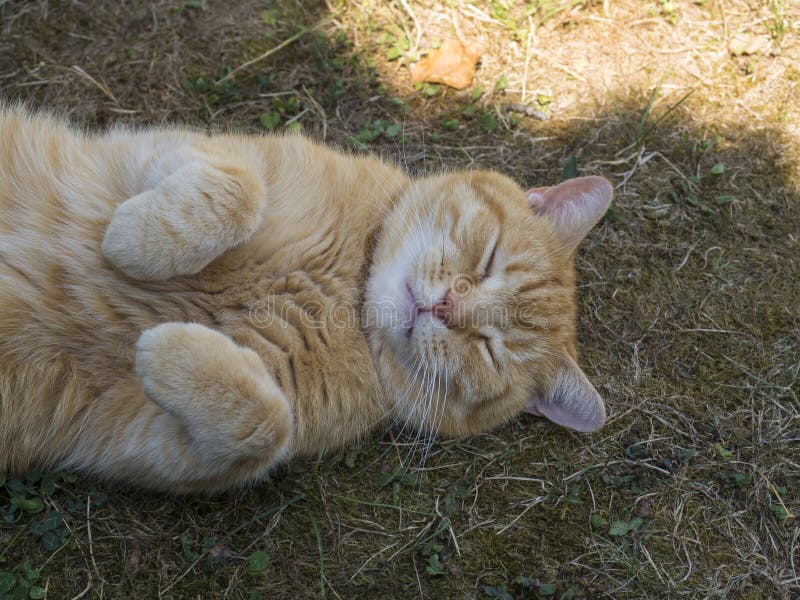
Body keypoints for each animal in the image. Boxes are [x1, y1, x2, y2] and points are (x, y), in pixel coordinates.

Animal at [0, 106, 608, 492]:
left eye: (488, 350)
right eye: (487, 259)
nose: (443, 308)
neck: (347, 296)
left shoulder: (135, 439)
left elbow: (265, 422)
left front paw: (167, 349)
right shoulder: (168, 150)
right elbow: (236, 194)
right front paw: (129, 242)